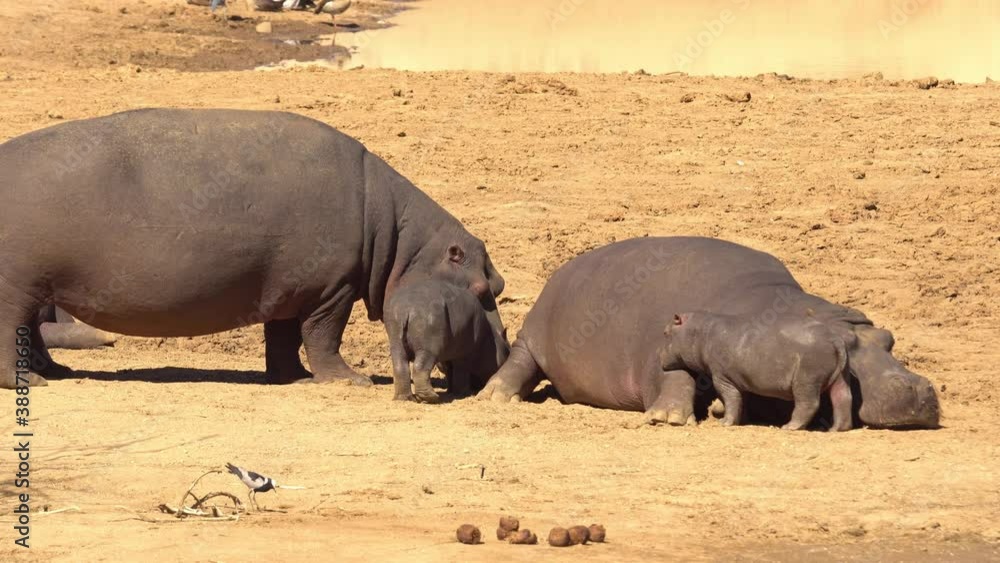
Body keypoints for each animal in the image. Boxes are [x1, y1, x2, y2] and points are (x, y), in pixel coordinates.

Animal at [0, 109, 506, 389]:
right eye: (486, 290)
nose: (501, 353)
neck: (400, 240)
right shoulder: (333, 290)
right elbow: (324, 337)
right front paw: (352, 381)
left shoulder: (292, 290)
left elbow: (282, 338)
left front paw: (292, 378)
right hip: (18, 286)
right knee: (10, 331)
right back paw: (33, 383)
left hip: (38, 287)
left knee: (29, 333)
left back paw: (57, 372)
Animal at [660, 312, 853, 431]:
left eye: (665, 332)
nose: (657, 354)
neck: (699, 333)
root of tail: (834, 338)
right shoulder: (739, 379)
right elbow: (741, 400)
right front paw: (740, 420)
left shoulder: (721, 377)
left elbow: (730, 398)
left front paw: (724, 422)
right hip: (840, 377)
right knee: (843, 397)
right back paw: (837, 429)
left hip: (806, 378)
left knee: (808, 403)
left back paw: (789, 427)